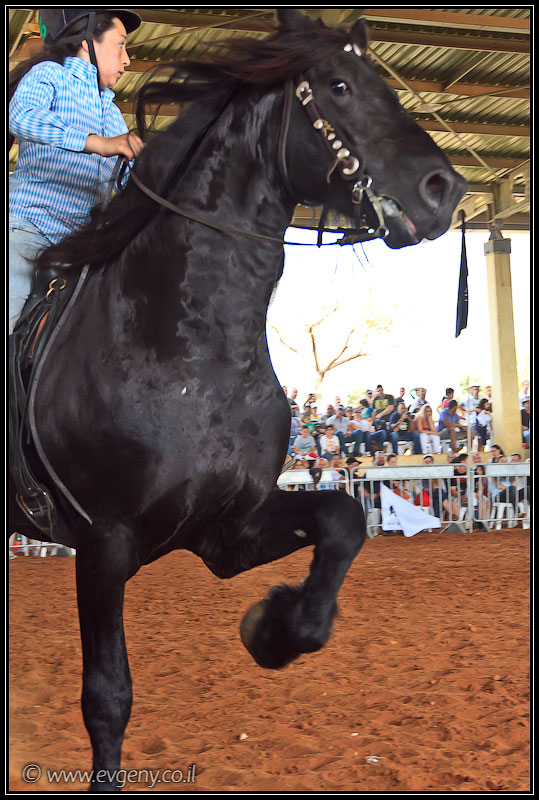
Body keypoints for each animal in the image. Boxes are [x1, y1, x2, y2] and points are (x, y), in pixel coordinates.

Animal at [9, 10, 467, 791]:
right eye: (338, 86)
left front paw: (273, 627)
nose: (445, 188)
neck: (182, 344)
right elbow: (107, 697)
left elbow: (344, 519)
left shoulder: (225, 529)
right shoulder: (103, 543)